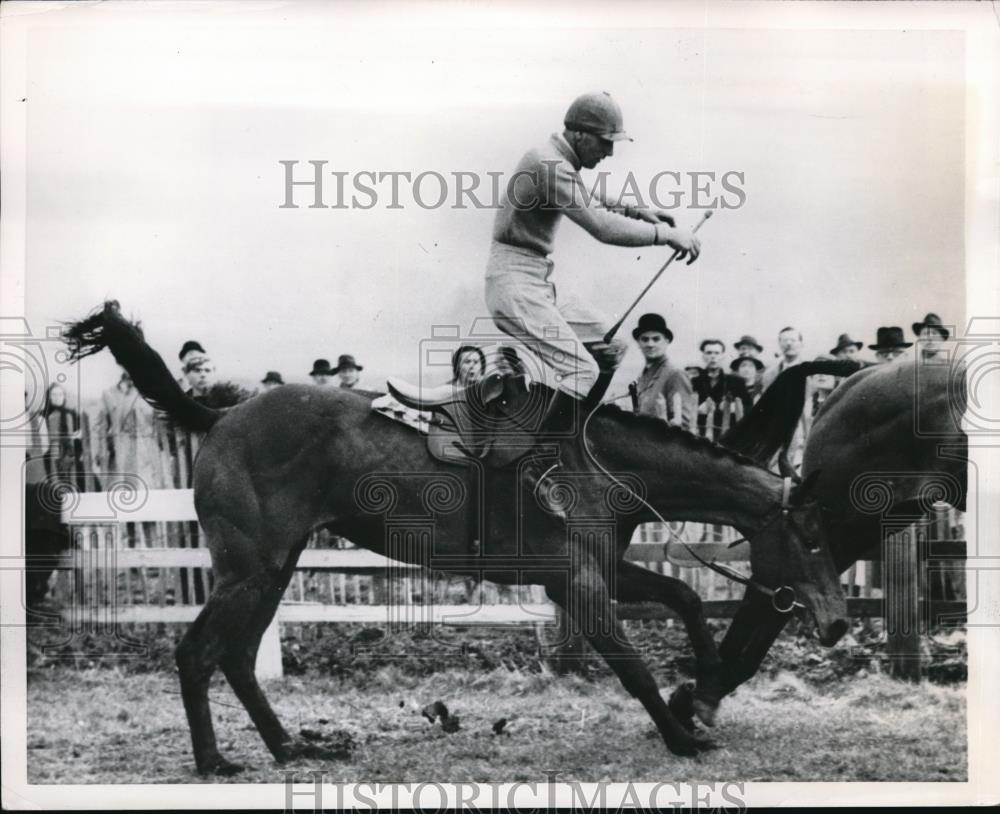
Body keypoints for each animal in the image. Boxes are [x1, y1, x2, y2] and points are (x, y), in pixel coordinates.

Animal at [60, 302, 844, 776]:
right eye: (809, 537)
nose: (836, 625)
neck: (590, 456)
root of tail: (220, 415)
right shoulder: (577, 582)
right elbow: (631, 665)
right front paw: (683, 734)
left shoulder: (596, 571)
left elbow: (682, 596)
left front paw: (703, 688)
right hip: (248, 568)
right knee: (199, 654)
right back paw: (215, 761)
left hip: (274, 569)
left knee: (240, 656)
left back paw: (288, 748)